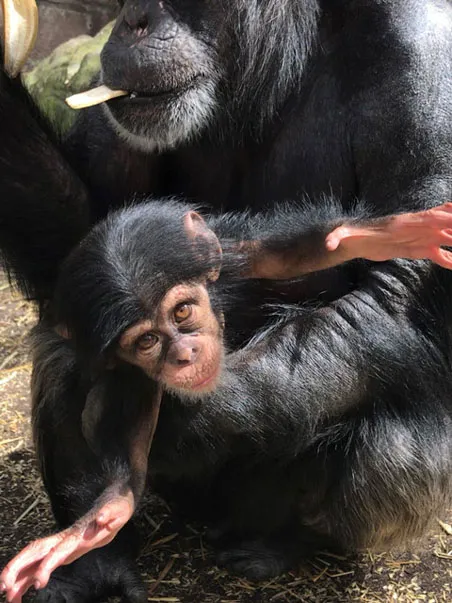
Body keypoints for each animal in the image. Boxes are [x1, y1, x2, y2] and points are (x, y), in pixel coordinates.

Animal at [1, 0, 452, 600]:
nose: (135, 20)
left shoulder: (426, 58)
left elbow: (390, 293)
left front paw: (167, 422)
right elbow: (80, 237)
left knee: (396, 449)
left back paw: (276, 546)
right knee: (61, 345)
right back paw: (95, 569)